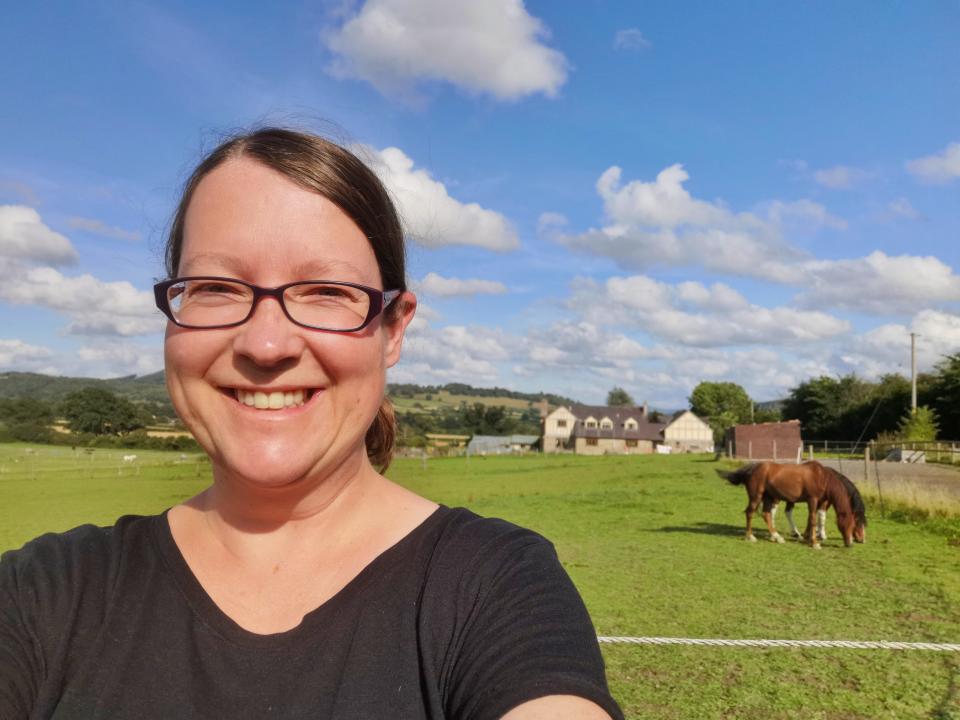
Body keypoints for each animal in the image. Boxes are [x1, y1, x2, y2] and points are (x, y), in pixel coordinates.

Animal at [724, 464, 868, 548]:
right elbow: (813, 520)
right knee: (750, 512)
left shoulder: (818, 502)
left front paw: (807, 537)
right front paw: (815, 542)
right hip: (757, 497)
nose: (851, 543)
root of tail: (751, 469)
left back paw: (777, 537)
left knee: (767, 514)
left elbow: (812, 519)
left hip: (769, 498)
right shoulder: (813, 500)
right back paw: (750, 537)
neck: (821, 477)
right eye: (854, 524)